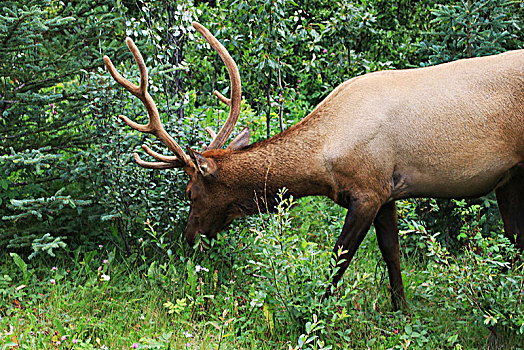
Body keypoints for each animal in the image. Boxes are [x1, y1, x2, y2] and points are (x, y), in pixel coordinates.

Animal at [103, 21, 524, 308]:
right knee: (516, 240)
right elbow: (392, 257)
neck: (324, 163)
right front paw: (401, 314)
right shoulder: (386, 191)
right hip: (511, 177)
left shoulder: (367, 192)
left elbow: (337, 263)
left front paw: (315, 313)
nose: (188, 237)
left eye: (191, 191)